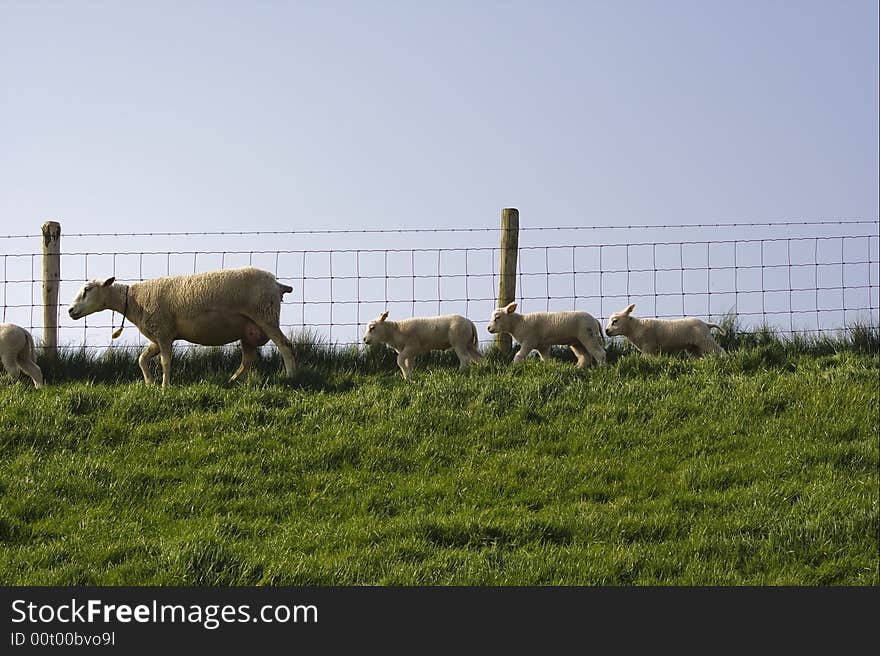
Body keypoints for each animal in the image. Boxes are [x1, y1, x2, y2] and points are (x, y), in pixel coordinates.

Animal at [65, 266, 298, 386]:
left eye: (87, 290)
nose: (70, 311)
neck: (133, 300)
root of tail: (277, 284)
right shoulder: (158, 335)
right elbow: (142, 359)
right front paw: (149, 383)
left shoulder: (163, 333)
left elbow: (165, 362)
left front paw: (164, 387)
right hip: (248, 329)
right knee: (248, 360)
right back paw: (231, 381)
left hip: (265, 316)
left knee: (285, 346)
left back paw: (291, 376)